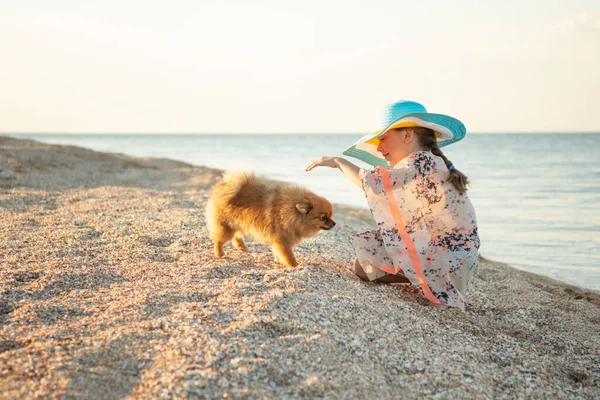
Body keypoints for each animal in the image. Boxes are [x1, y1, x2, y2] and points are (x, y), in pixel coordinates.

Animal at [205, 170, 338, 268]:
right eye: (324, 217)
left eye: (331, 215)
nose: (334, 223)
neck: (291, 214)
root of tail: (224, 187)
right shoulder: (282, 241)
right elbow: (289, 256)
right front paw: (295, 266)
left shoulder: (278, 242)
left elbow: (278, 252)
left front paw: (278, 261)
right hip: (226, 227)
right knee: (218, 240)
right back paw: (220, 254)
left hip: (240, 224)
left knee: (236, 236)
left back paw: (242, 248)